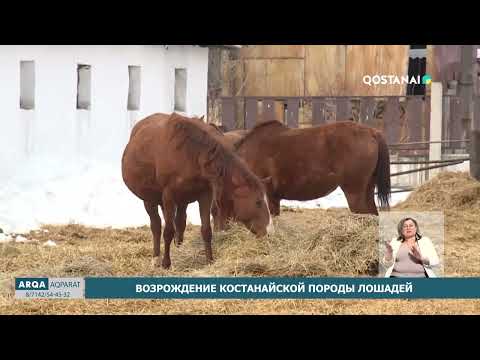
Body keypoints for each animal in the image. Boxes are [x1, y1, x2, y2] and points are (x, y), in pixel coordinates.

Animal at [122, 112, 272, 268]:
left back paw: (178, 247)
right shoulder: (168, 196)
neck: (191, 155)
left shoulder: (205, 195)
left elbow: (206, 230)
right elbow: (168, 231)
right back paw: (156, 257)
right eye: (258, 202)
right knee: (156, 226)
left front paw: (209, 260)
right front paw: (166, 263)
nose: (269, 231)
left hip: (181, 201)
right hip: (150, 200)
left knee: (180, 222)